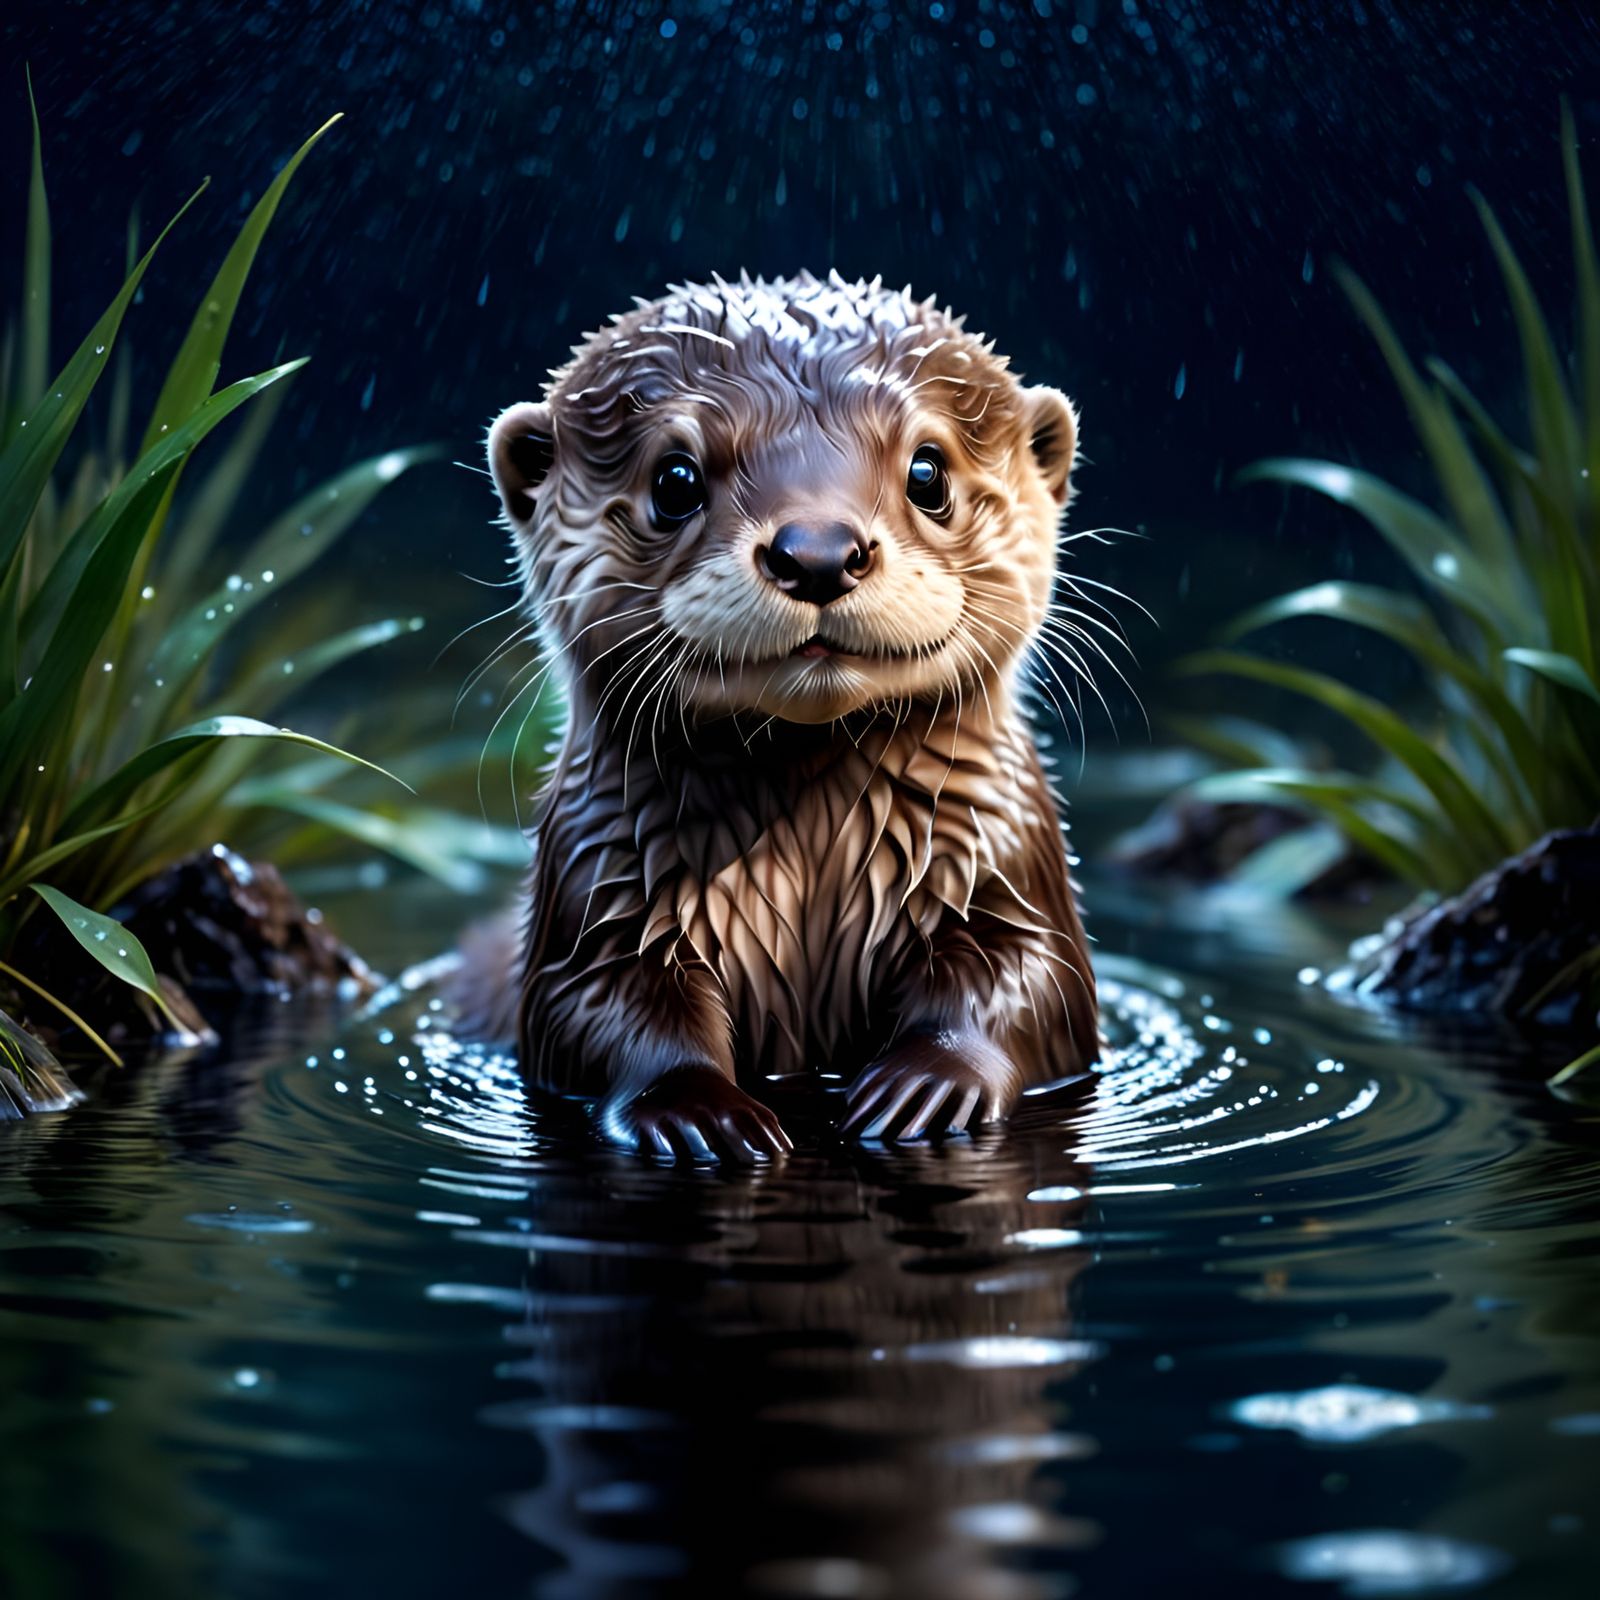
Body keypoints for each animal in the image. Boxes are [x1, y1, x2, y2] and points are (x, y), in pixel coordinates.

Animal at [474, 272, 1098, 1163]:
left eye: (929, 472)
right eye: (674, 481)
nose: (818, 552)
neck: (813, 864)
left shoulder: (1002, 857)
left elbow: (1029, 979)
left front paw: (926, 1083)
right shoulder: (598, 884)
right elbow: (602, 1009)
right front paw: (697, 1110)